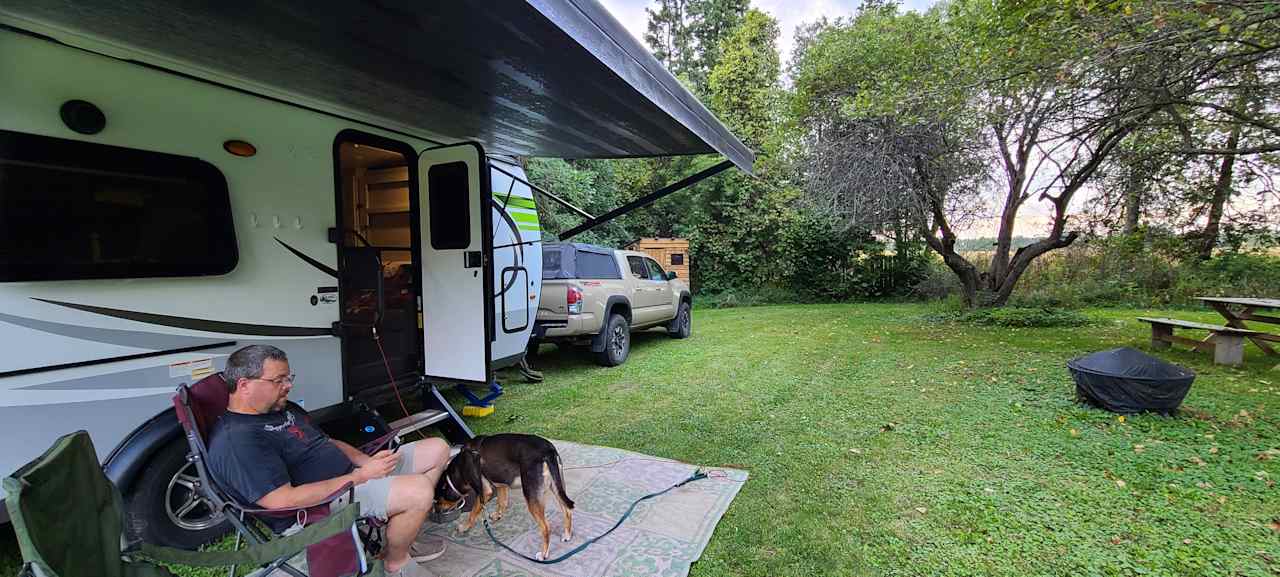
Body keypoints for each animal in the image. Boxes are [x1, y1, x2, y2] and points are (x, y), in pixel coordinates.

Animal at [435, 434, 576, 560]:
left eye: (437, 499)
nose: (436, 511)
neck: (460, 467)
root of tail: (548, 450)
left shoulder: (484, 491)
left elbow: (473, 513)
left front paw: (464, 527)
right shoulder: (501, 485)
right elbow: (502, 502)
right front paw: (497, 515)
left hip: (532, 496)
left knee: (546, 527)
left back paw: (543, 554)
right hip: (557, 487)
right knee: (567, 510)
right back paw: (567, 535)